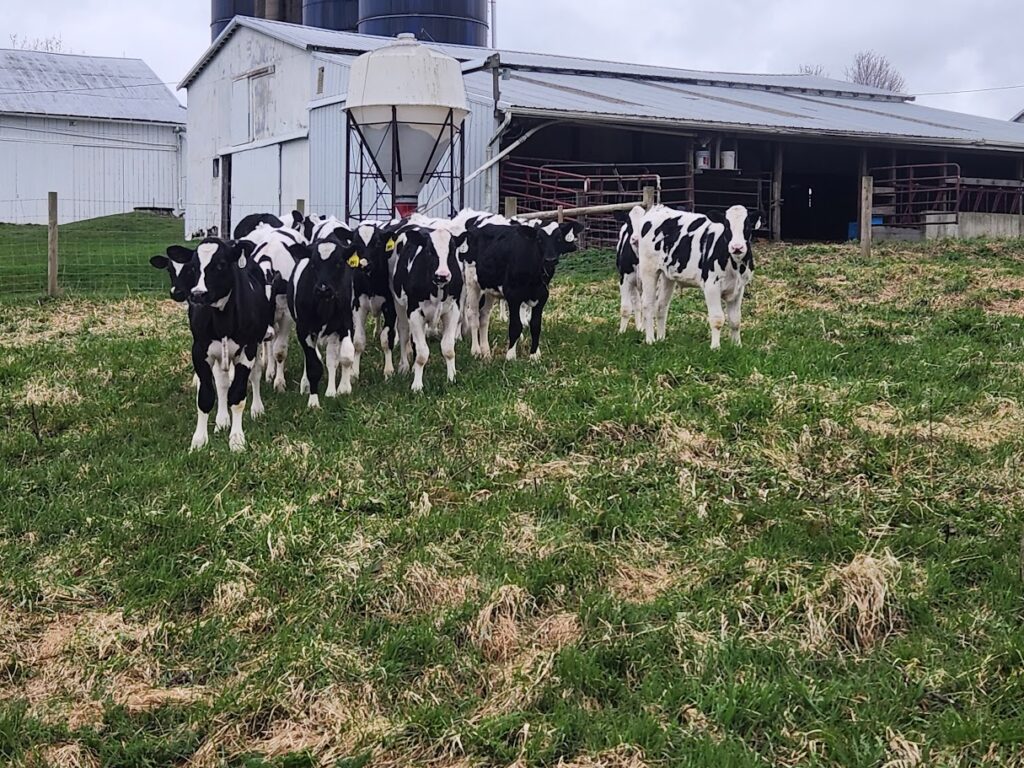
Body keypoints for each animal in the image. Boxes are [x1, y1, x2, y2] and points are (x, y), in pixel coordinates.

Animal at [181, 238, 275, 452]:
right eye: (193, 267)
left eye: (220, 265)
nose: (198, 294)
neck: (222, 319)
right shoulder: (199, 351)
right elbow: (206, 396)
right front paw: (199, 440)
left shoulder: (247, 349)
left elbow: (238, 395)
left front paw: (237, 439)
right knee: (222, 383)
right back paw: (222, 420)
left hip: (256, 344)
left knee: (255, 374)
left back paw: (257, 409)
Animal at [286, 231, 362, 408]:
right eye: (313, 264)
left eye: (339, 263)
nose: (323, 288)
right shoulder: (303, 329)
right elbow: (313, 365)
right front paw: (313, 402)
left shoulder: (345, 324)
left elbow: (345, 356)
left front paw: (343, 389)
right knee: (311, 357)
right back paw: (306, 384)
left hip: (333, 332)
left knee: (332, 359)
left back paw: (331, 391)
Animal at [390, 224, 467, 392]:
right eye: (429, 251)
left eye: (452, 251)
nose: (442, 275)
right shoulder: (414, 312)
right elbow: (422, 353)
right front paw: (417, 385)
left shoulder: (453, 310)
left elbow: (448, 348)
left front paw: (452, 378)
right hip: (399, 304)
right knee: (404, 332)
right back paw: (404, 366)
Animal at [462, 219, 582, 361]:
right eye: (539, 239)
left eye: (558, 238)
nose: (550, 259)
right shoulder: (513, 296)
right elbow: (515, 326)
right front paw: (510, 356)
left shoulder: (542, 296)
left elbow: (535, 325)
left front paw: (534, 355)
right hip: (472, 284)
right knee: (473, 315)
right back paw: (476, 351)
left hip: (488, 289)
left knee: (484, 317)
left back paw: (486, 352)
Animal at [634, 204, 760, 348]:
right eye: (727, 226)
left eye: (747, 226)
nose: (737, 247)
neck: (735, 266)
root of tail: (657, 209)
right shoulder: (711, 286)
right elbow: (717, 319)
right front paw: (715, 347)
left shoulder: (739, 288)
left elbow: (735, 320)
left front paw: (737, 345)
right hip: (648, 270)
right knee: (648, 304)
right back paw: (650, 340)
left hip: (667, 276)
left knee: (661, 306)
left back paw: (661, 338)